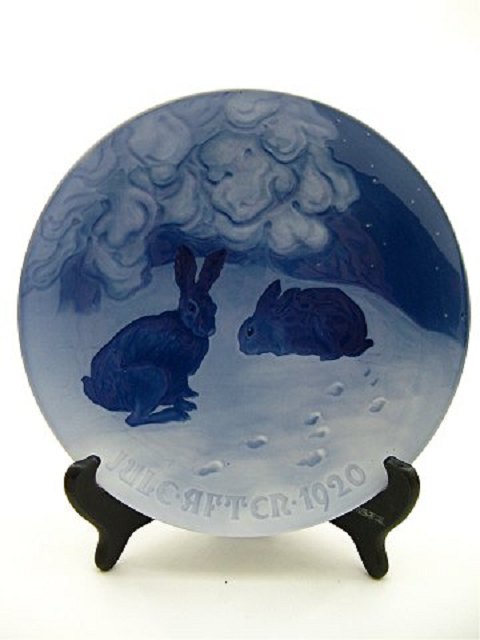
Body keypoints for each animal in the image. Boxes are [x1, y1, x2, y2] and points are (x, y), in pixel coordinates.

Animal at [82, 246, 226, 426]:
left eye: (214, 307)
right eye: (192, 307)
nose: (209, 330)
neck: (186, 327)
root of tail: (103, 396)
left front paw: (190, 398)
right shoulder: (176, 371)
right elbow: (179, 390)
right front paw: (187, 402)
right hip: (154, 378)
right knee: (134, 419)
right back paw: (177, 415)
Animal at [238, 279, 373, 361]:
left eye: (250, 331)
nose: (241, 349)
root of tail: (359, 337)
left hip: (322, 324)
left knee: (336, 353)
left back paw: (323, 357)